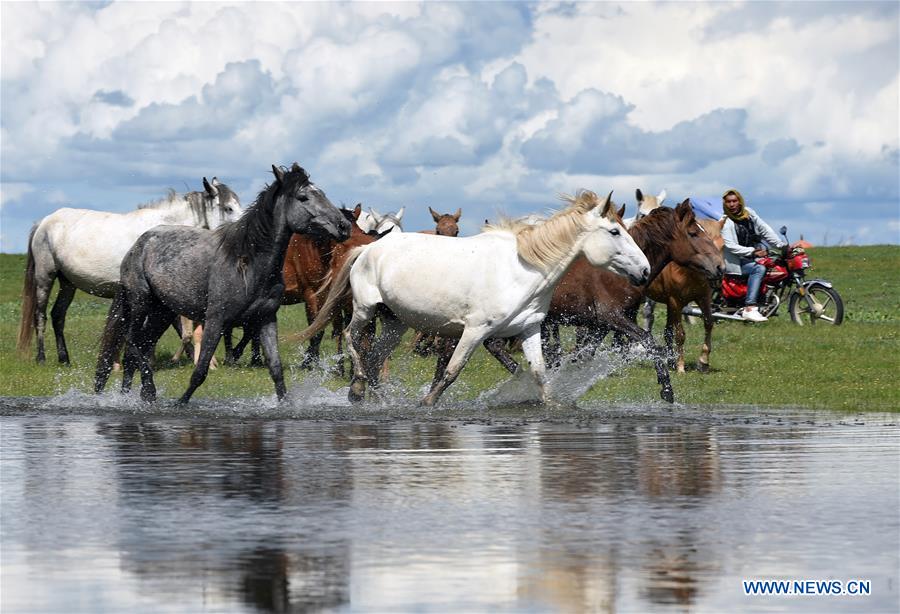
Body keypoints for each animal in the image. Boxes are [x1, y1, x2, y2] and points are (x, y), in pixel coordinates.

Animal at [18, 178, 243, 366]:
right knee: (41, 316)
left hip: (68, 283)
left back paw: (64, 359)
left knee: (58, 316)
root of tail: (44, 222)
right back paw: (41, 358)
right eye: (228, 208)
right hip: (45, 278)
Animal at [96, 164, 352, 404]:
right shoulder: (216, 320)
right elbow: (200, 371)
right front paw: (180, 403)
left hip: (163, 311)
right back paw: (148, 392)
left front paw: (284, 403)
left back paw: (130, 395)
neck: (248, 263)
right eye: (303, 197)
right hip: (140, 302)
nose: (344, 226)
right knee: (133, 342)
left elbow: (276, 369)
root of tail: (138, 244)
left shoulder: (266, 319)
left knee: (137, 348)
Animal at [298, 190, 652, 406]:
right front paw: (427, 402)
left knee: (374, 359)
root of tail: (368, 248)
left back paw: (374, 397)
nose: (646, 270)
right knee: (352, 339)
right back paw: (357, 387)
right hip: (364, 309)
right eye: (614, 232)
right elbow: (452, 371)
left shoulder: (530, 329)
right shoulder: (475, 330)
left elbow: (540, 375)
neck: (521, 269)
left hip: (395, 323)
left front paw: (552, 405)